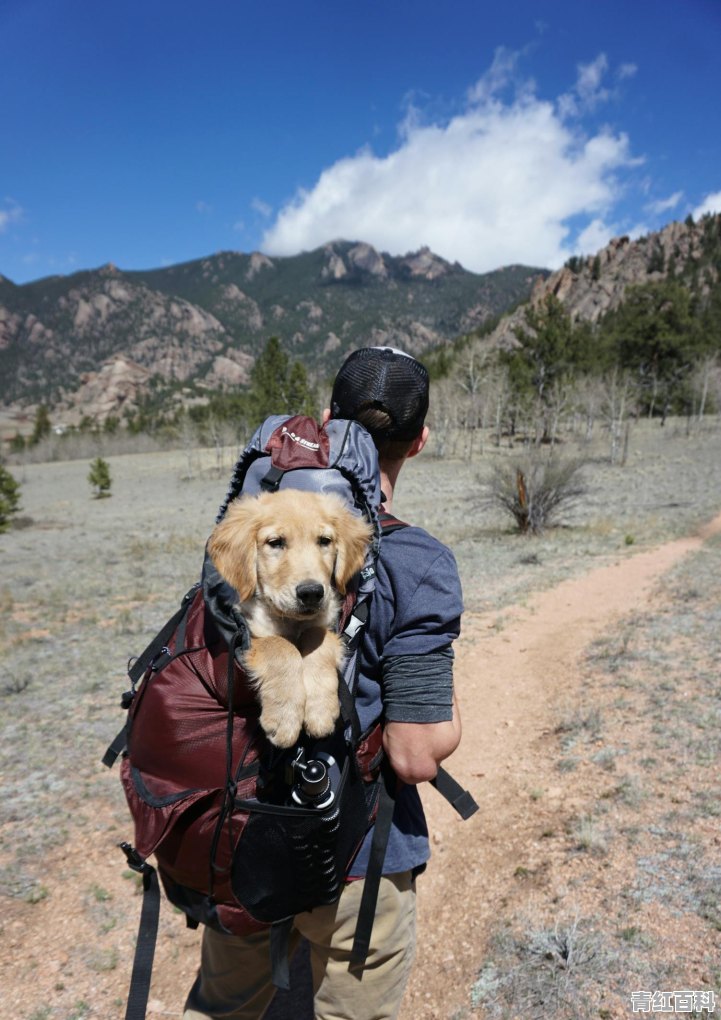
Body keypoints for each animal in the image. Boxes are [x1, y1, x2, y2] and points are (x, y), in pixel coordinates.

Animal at [206, 489, 369, 746]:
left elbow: (317, 638)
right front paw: (284, 718)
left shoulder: (326, 624)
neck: (292, 621)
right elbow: (280, 646)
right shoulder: (251, 632)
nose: (311, 593)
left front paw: (320, 710)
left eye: (324, 541)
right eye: (275, 543)